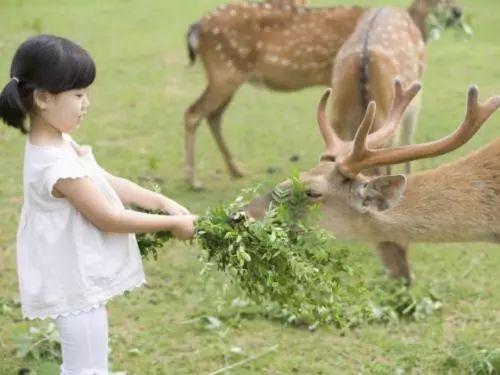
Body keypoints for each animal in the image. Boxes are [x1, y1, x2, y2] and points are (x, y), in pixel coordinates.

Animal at [185, 1, 368, 191]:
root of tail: (196, 28)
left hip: (228, 74)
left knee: (213, 116)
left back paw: (236, 170)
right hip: (225, 71)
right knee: (193, 113)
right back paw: (194, 181)